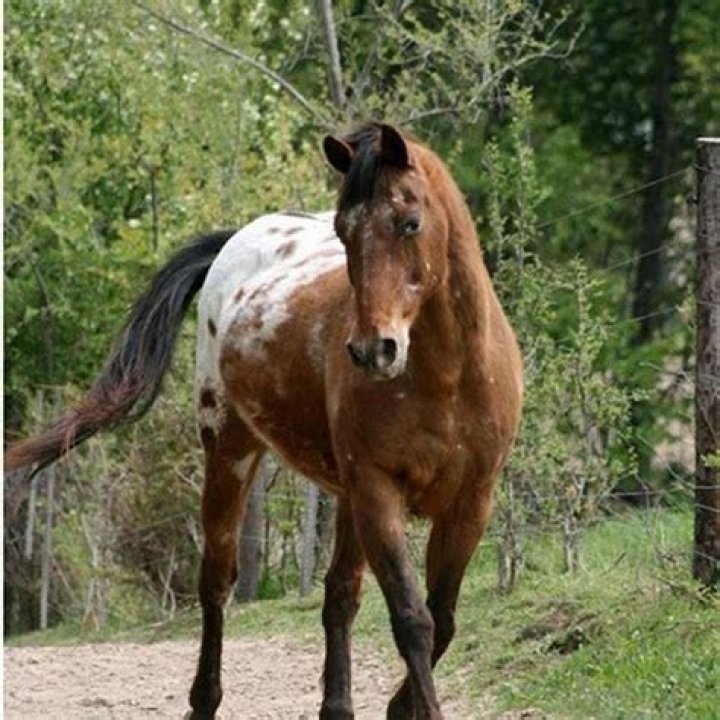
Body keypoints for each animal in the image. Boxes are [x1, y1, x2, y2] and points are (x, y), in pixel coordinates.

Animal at [5, 123, 523, 719]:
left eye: (409, 222)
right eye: (344, 232)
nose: (373, 350)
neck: (448, 377)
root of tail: (237, 242)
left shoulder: (470, 501)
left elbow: (443, 618)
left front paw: (402, 707)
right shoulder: (378, 493)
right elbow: (414, 620)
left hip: (342, 495)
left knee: (339, 595)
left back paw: (336, 707)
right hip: (230, 452)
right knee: (217, 582)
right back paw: (203, 701)